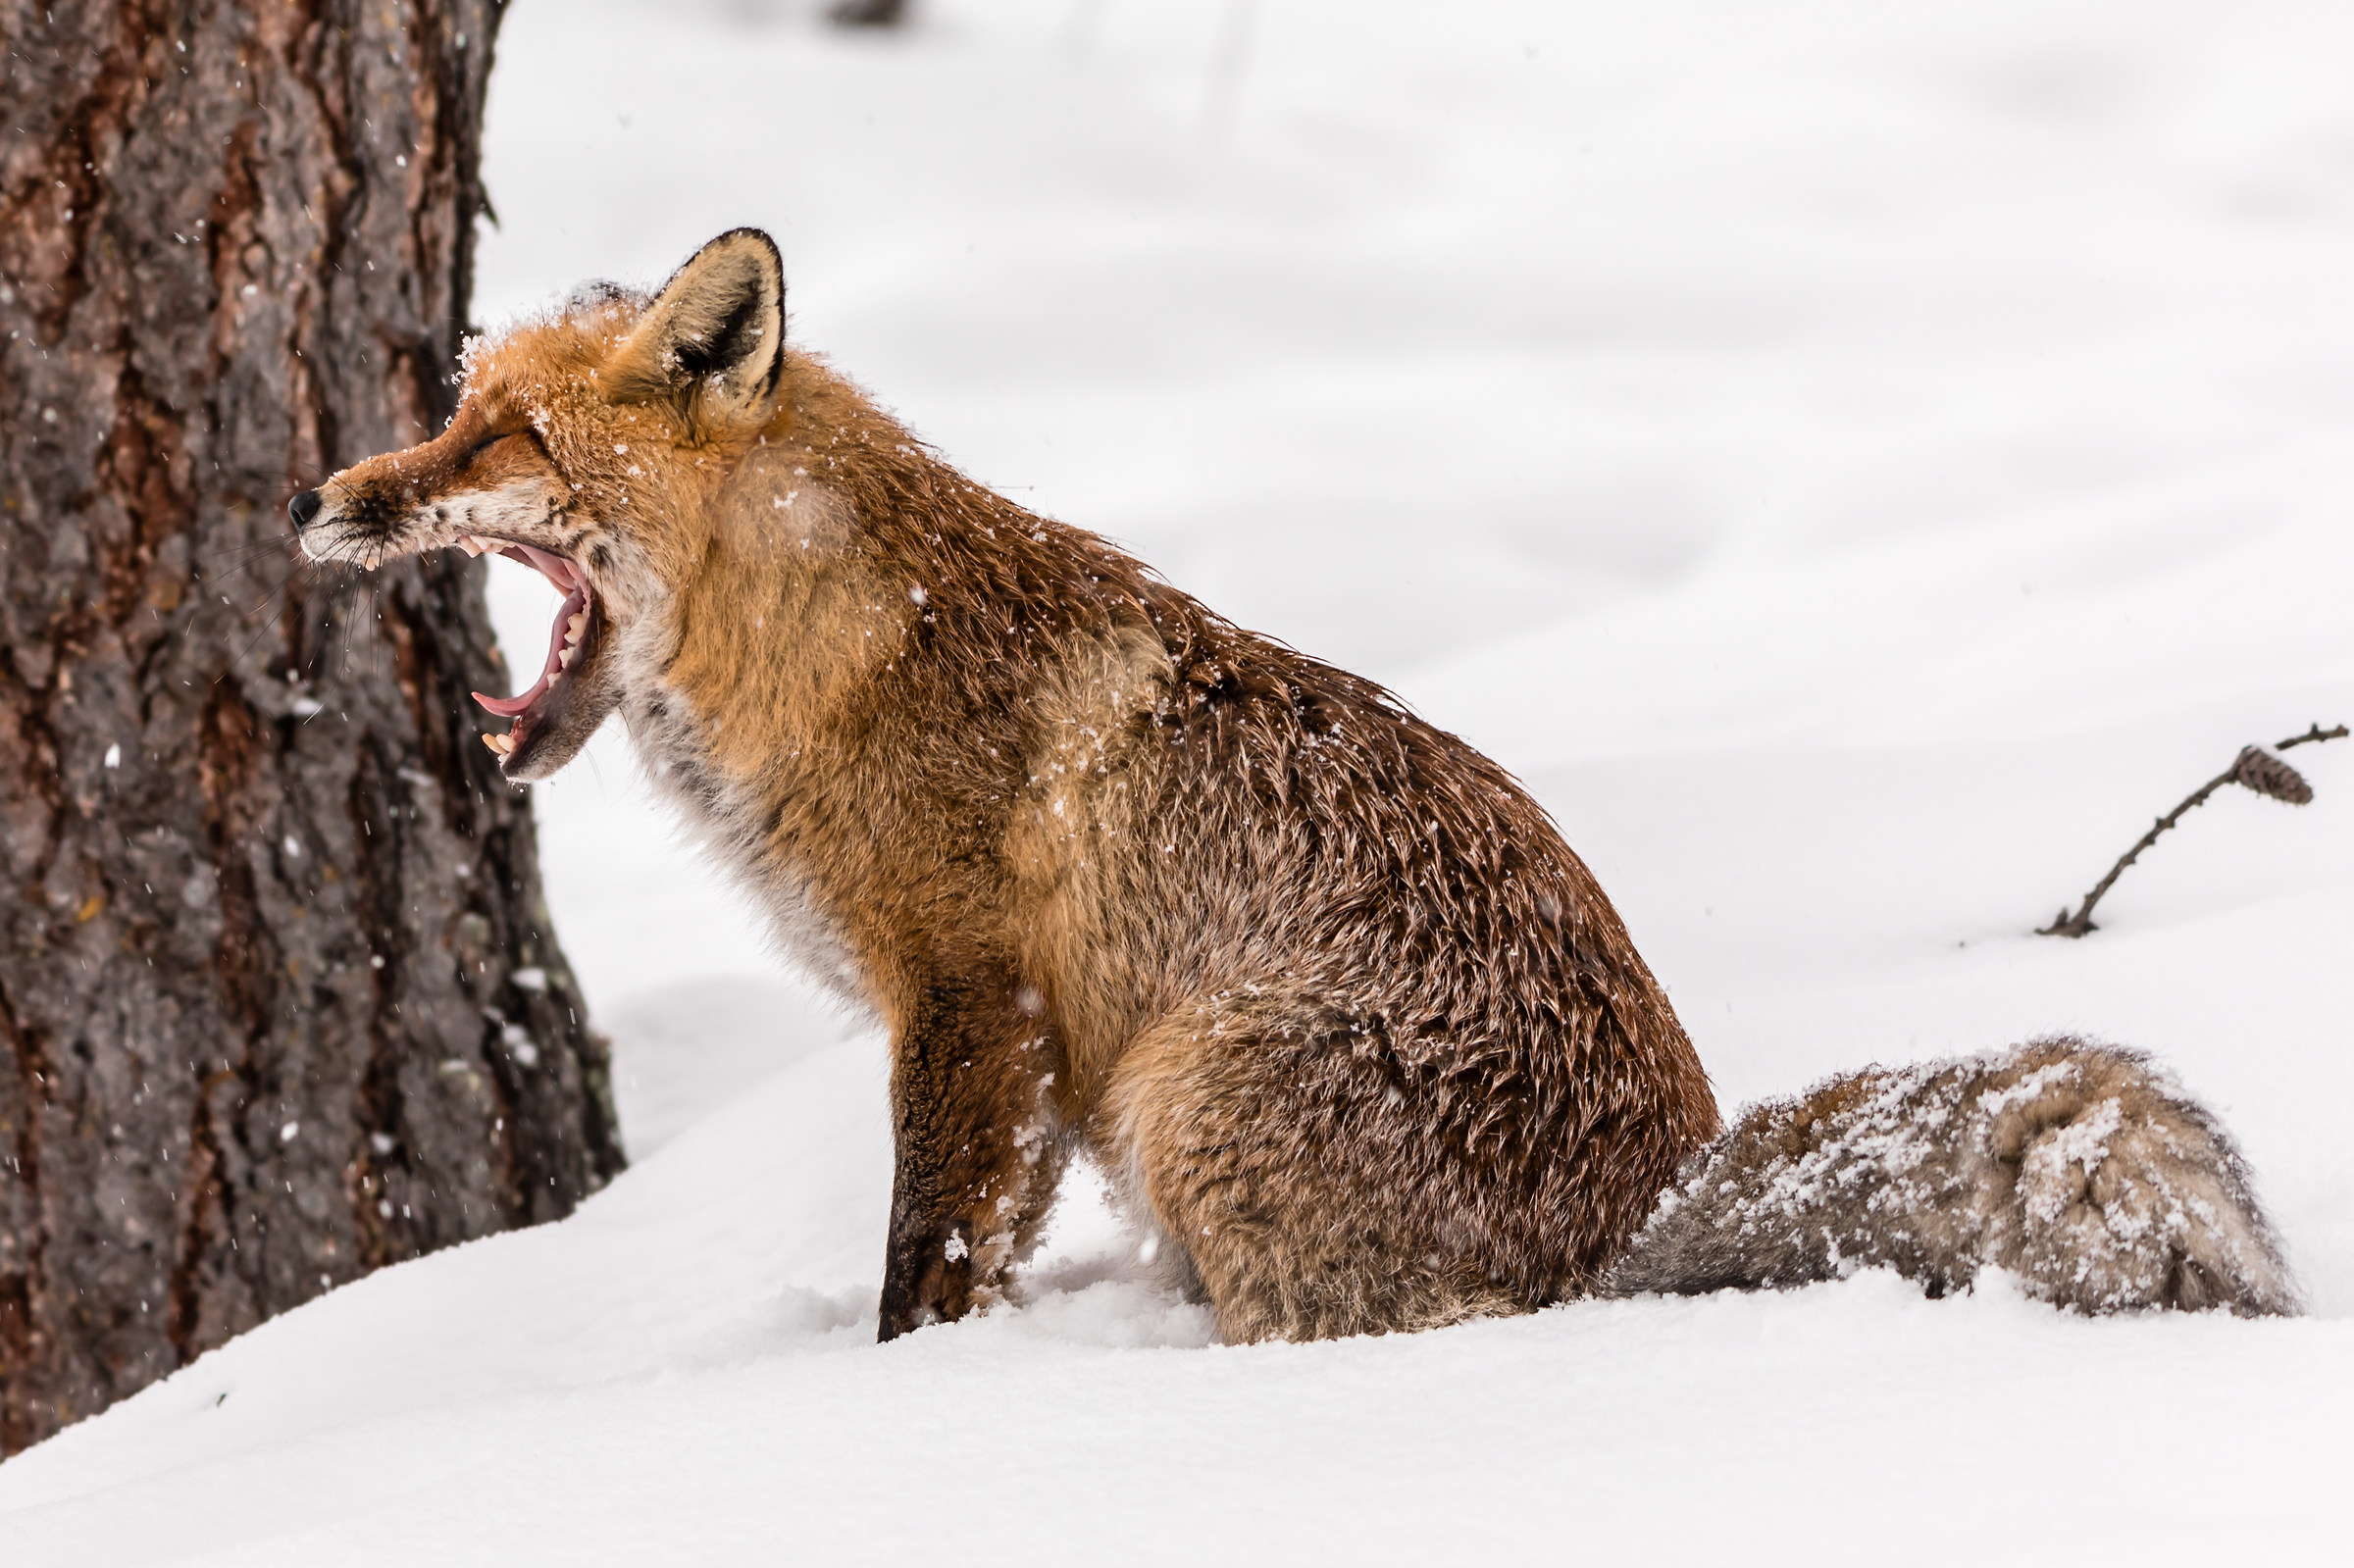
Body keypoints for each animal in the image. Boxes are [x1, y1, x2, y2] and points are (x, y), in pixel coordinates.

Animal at [290, 229, 2299, 1339]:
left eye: (500, 440)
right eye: (451, 408)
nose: (322, 495)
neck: (844, 643)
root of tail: (1645, 1201)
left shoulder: (976, 999)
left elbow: (922, 1264)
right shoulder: (1014, 1047)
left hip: (1189, 1080)